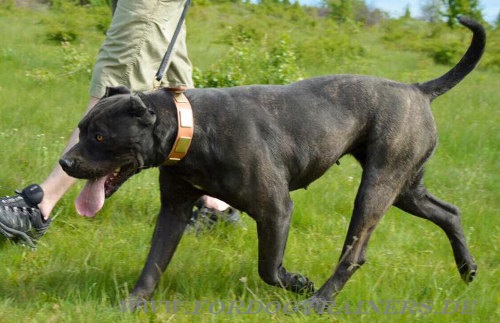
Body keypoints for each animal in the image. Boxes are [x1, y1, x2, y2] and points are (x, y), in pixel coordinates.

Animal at [58, 17, 484, 306]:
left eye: (100, 137)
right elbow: (153, 264)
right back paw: (467, 269)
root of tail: (418, 90)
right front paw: (130, 305)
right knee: (450, 212)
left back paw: (317, 302)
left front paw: (297, 283)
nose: (65, 163)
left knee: (354, 253)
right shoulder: (175, 210)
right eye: (81, 129)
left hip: (377, 189)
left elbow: (268, 267)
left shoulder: (276, 209)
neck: (190, 126)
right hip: (405, 188)